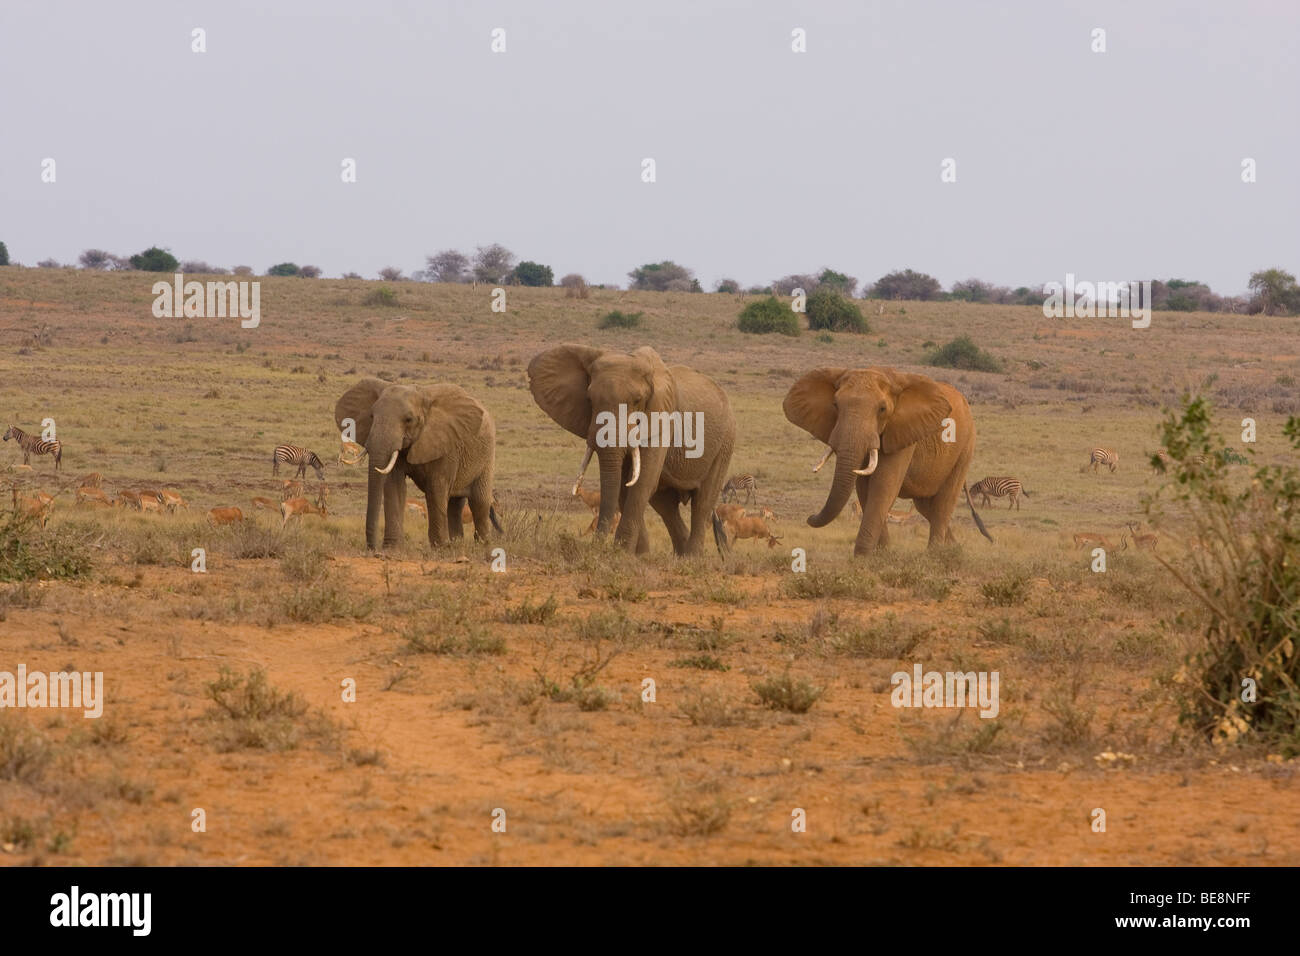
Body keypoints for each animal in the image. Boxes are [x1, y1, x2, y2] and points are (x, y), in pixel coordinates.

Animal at [332, 377, 499, 548]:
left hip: (487, 455)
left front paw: (440, 548)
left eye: (409, 420)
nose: (372, 548)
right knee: (455, 505)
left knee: (479, 501)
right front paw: (392, 549)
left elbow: (436, 488)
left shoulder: (446, 445)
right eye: (371, 416)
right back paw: (457, 543)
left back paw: (482, 545)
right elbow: (394, 486)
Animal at [525, 343, 733, 554]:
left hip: (724, 443)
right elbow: (624, 486)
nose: (595, 548)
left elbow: (641, 482)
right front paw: (637, 555)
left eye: (637, 400)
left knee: (702, 502)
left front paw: (623, 553)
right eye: (590, 399)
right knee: (666, 506)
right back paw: (680, 555)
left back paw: (691, 558)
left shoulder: (662, 419)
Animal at [780, 369, 993, 561]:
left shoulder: (903, 430)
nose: (810, 517)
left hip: (965, 448)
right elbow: (865, 489)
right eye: (835, 405)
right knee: (927, 507)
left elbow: (883, 486)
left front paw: (864, 559)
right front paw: (882, 556)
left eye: (882, 409)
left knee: (942, 505)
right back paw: (955, 550)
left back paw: (935, 556)